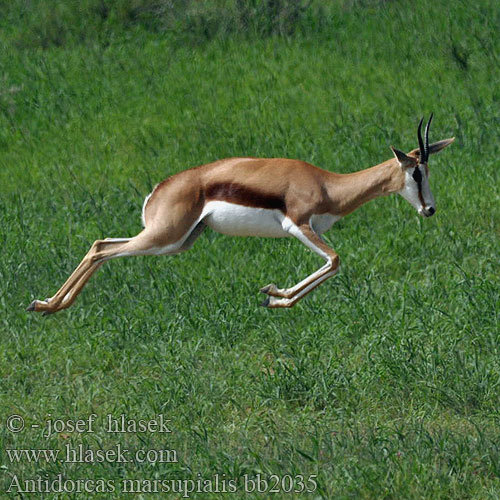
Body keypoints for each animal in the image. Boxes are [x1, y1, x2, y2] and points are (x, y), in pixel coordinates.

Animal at [29, 115, 456, 314]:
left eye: (429, 170)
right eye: (416, 172)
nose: (430, 209)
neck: (328, 185)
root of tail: (160, 190)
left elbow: (331, 265)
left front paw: (273, 295)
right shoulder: (298, 225)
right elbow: (334, 260)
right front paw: (275, 296)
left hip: (176, 243)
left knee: (102, 245)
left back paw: (50, 306)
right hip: (163, 236)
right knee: (101, 247)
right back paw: (47, 306)